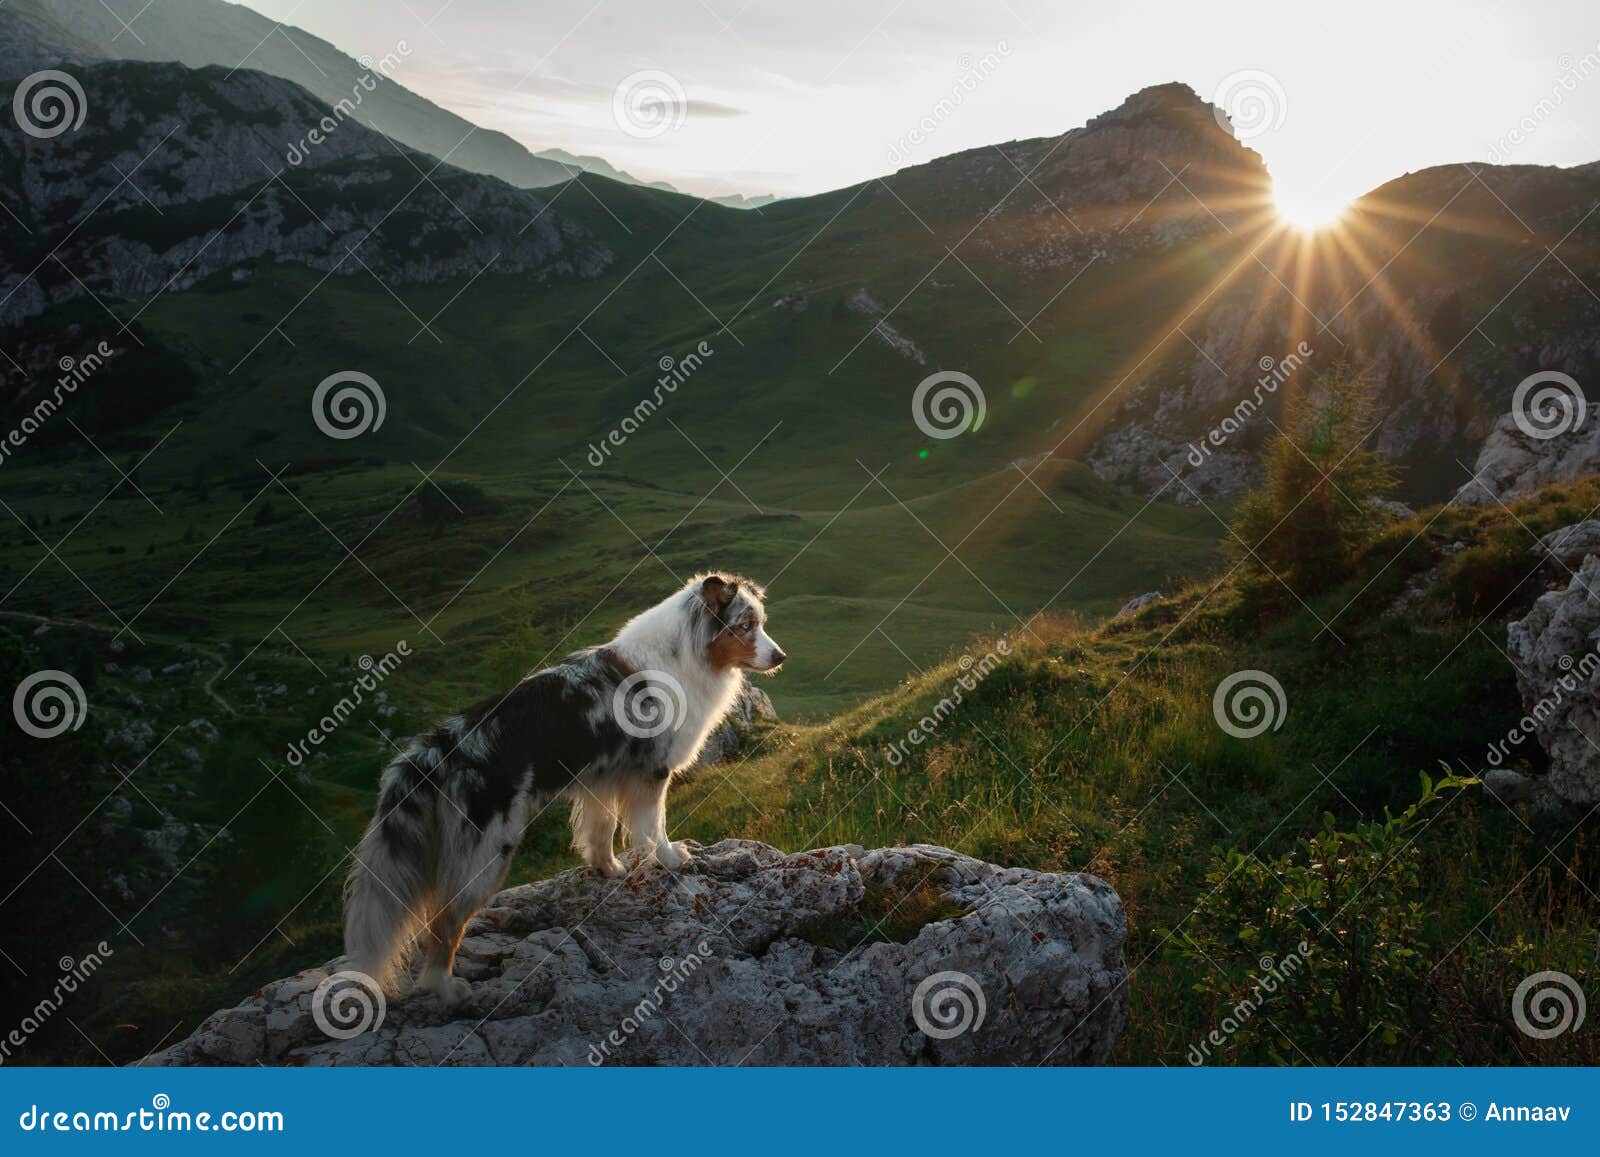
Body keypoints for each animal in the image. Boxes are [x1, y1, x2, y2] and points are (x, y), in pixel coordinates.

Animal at [347, 572, 784, 1004]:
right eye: (745, 626)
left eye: (762, 622)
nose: (780, 657)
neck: (685, 653)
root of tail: (438, 748)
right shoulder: (652, 773)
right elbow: (654, 826)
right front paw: (671, 858)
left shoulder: (604, 779)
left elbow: (601, 829)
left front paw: (608, 869)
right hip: (487, 850)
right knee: (445, 920)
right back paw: (445, 987)